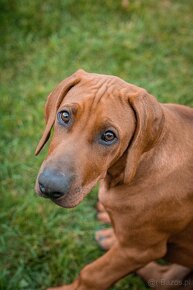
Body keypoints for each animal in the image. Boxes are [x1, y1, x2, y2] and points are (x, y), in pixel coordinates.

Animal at [35, 70, 193, 290]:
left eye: (109, 136)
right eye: (65, 116)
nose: (49, 187)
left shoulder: (138, 250)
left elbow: (91, 275)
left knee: (165, 280)